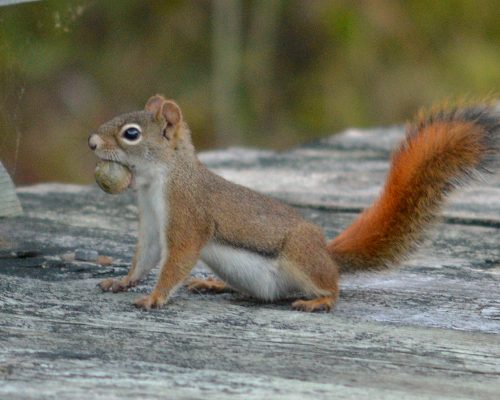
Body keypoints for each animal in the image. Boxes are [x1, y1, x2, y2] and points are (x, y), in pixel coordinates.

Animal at [88, 97, 498, 312]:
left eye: (131, 134)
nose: (91, 142)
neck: (159, 180)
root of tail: (327, 254)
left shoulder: (189, 217)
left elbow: (176, 260)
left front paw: (154, 297)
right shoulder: (151, 222)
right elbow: (145, 258)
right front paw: (122, 281)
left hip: (300, 258)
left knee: (332, 288)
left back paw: (319, 301)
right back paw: (216, 284)